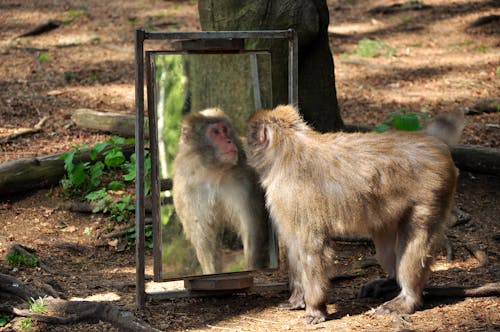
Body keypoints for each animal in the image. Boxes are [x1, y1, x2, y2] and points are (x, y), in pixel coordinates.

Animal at [172, 107, 270, 274]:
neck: (213, 171)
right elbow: (205, 241)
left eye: (225, 130)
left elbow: (251, 230)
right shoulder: (187, 191)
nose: (229, 141)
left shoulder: (243, 182)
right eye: (215, 132)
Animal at [244, 105, 462, 322]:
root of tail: (432, 141)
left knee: (416, 238)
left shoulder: (296, 197)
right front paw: (296, 299)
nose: (242, 144)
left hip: (431, 193)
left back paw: (407, 298)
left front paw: (315, 308)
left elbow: (312, 247)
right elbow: (294, 246)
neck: (287, 150)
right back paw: (390, 282)